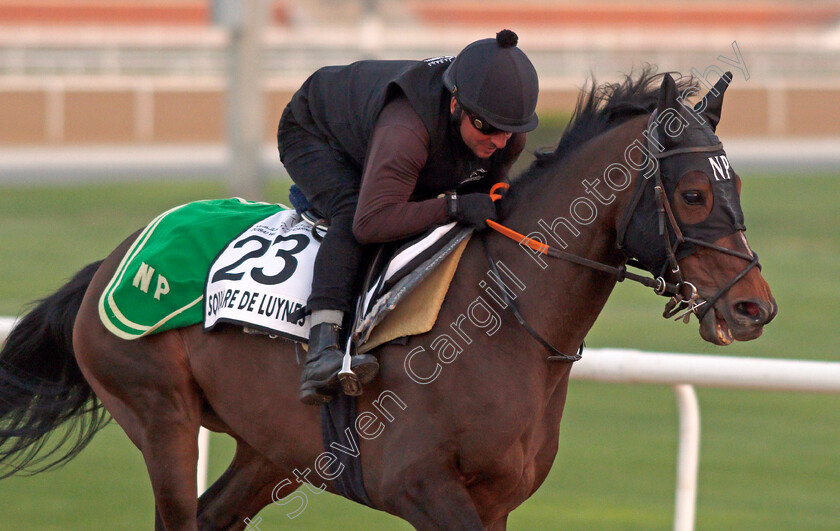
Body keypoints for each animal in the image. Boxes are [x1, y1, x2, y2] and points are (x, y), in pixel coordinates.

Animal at [0, 69, 776, 528]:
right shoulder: (419, 485)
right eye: (694, 193)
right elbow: (370, 214)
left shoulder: (496, 501)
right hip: (159, 412)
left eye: (737, 186)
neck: (505, 319)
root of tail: (111, 262)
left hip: (270, 447)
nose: (754, 307)